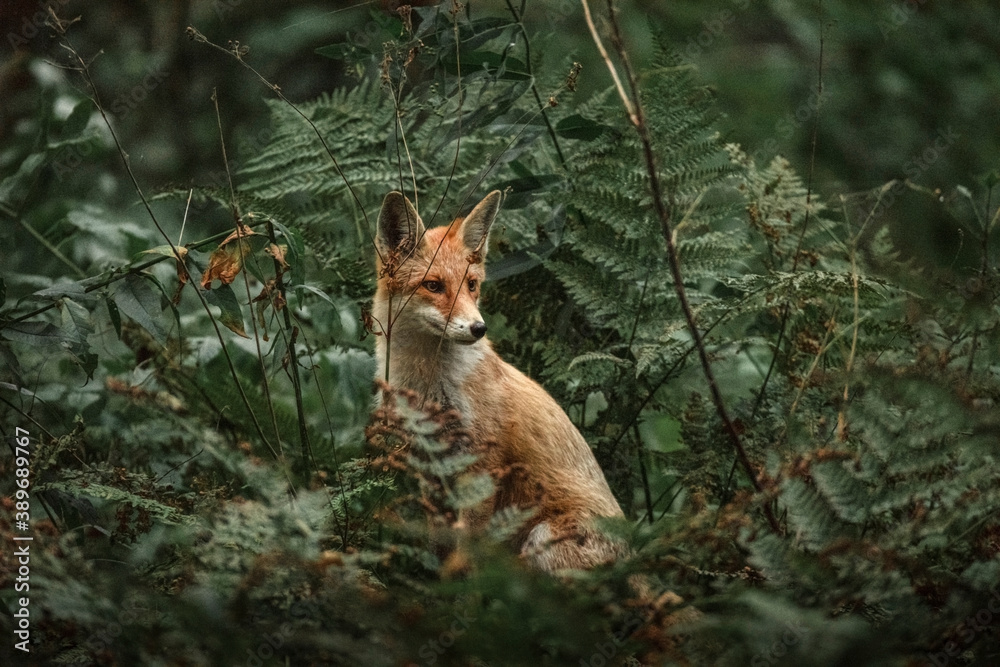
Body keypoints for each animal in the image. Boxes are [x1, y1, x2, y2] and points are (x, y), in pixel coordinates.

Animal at [371, 189, 627, 571]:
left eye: (472, 286)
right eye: (433, 286)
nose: (479, 328)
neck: (429, 388)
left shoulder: (481, 469)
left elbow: (466, 553)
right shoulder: (431, 468)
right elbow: (439, 545)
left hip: (542, 538)